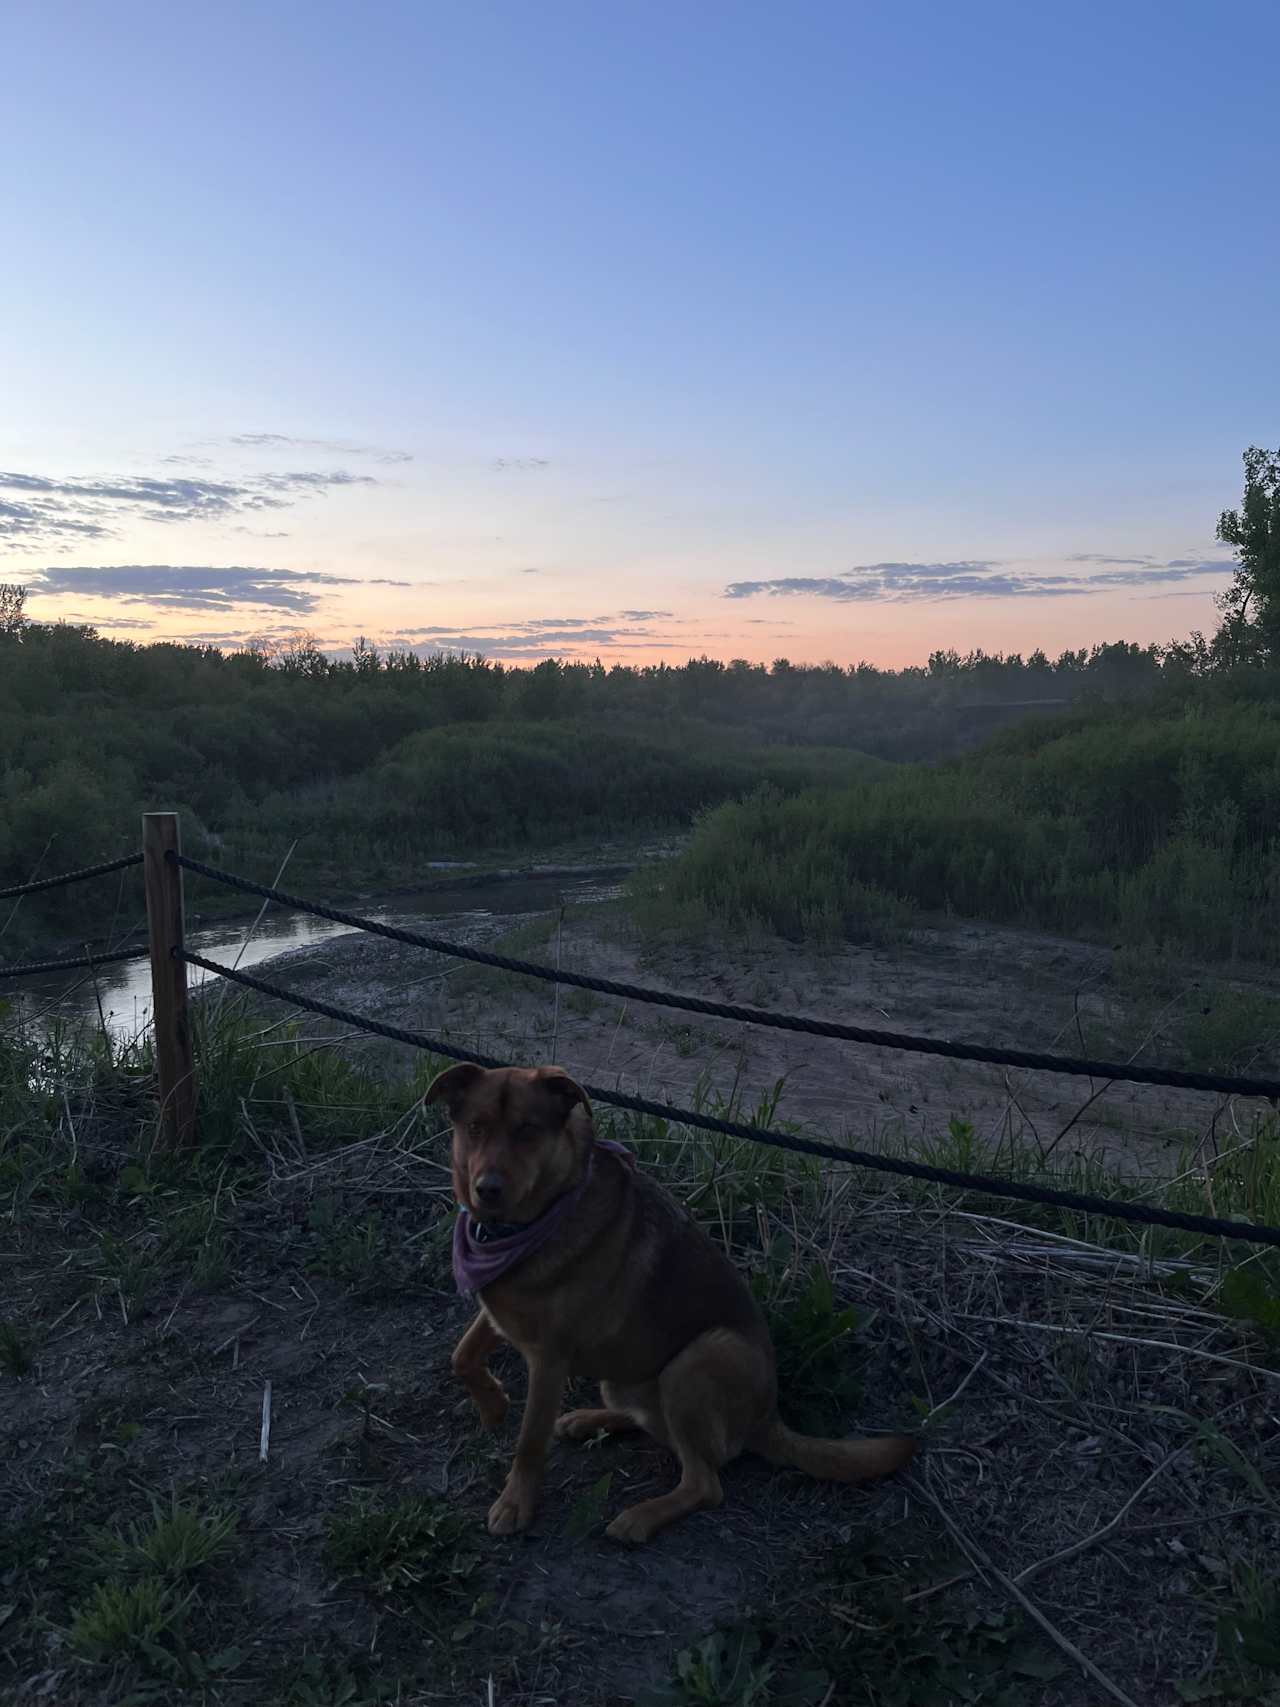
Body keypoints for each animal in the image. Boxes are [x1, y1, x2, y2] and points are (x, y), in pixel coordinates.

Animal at [426, 1058, 914, 1543]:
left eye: (527, 1130)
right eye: (475, 1127)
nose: (487, 1189)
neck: (524, 1226)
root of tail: (768, 1417)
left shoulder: (549, 1359)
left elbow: (529, 1440)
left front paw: (516, 1503)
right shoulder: (501, 1314)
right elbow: (461, 1356)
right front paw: (493, 1404)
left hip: (700, 1358)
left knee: (705, 1482)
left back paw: (641, 1518)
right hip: (627, 1375)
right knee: (652, 1424)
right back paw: (590, 1420)